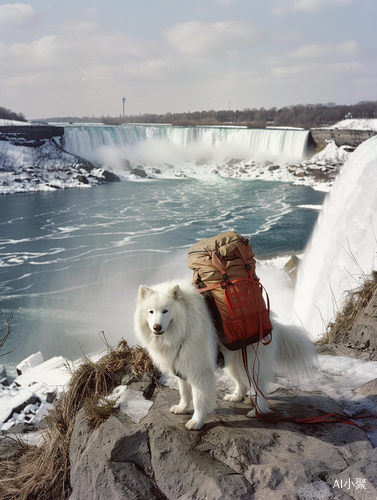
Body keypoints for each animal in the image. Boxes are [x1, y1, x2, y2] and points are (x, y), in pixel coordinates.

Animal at [134, 278, 316, 430]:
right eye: (151, 312)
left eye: (165, 311)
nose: (156, 327)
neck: (182, 329)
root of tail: (271, 321)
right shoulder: (181, 366)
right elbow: (184, 393)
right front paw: (182, 408)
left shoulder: (199, 372)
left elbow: (198, 399)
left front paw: (196, 422)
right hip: (233, 363)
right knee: (242, 383)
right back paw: (235, 397)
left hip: (250, 363)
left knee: (259, 388)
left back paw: (257, 411)